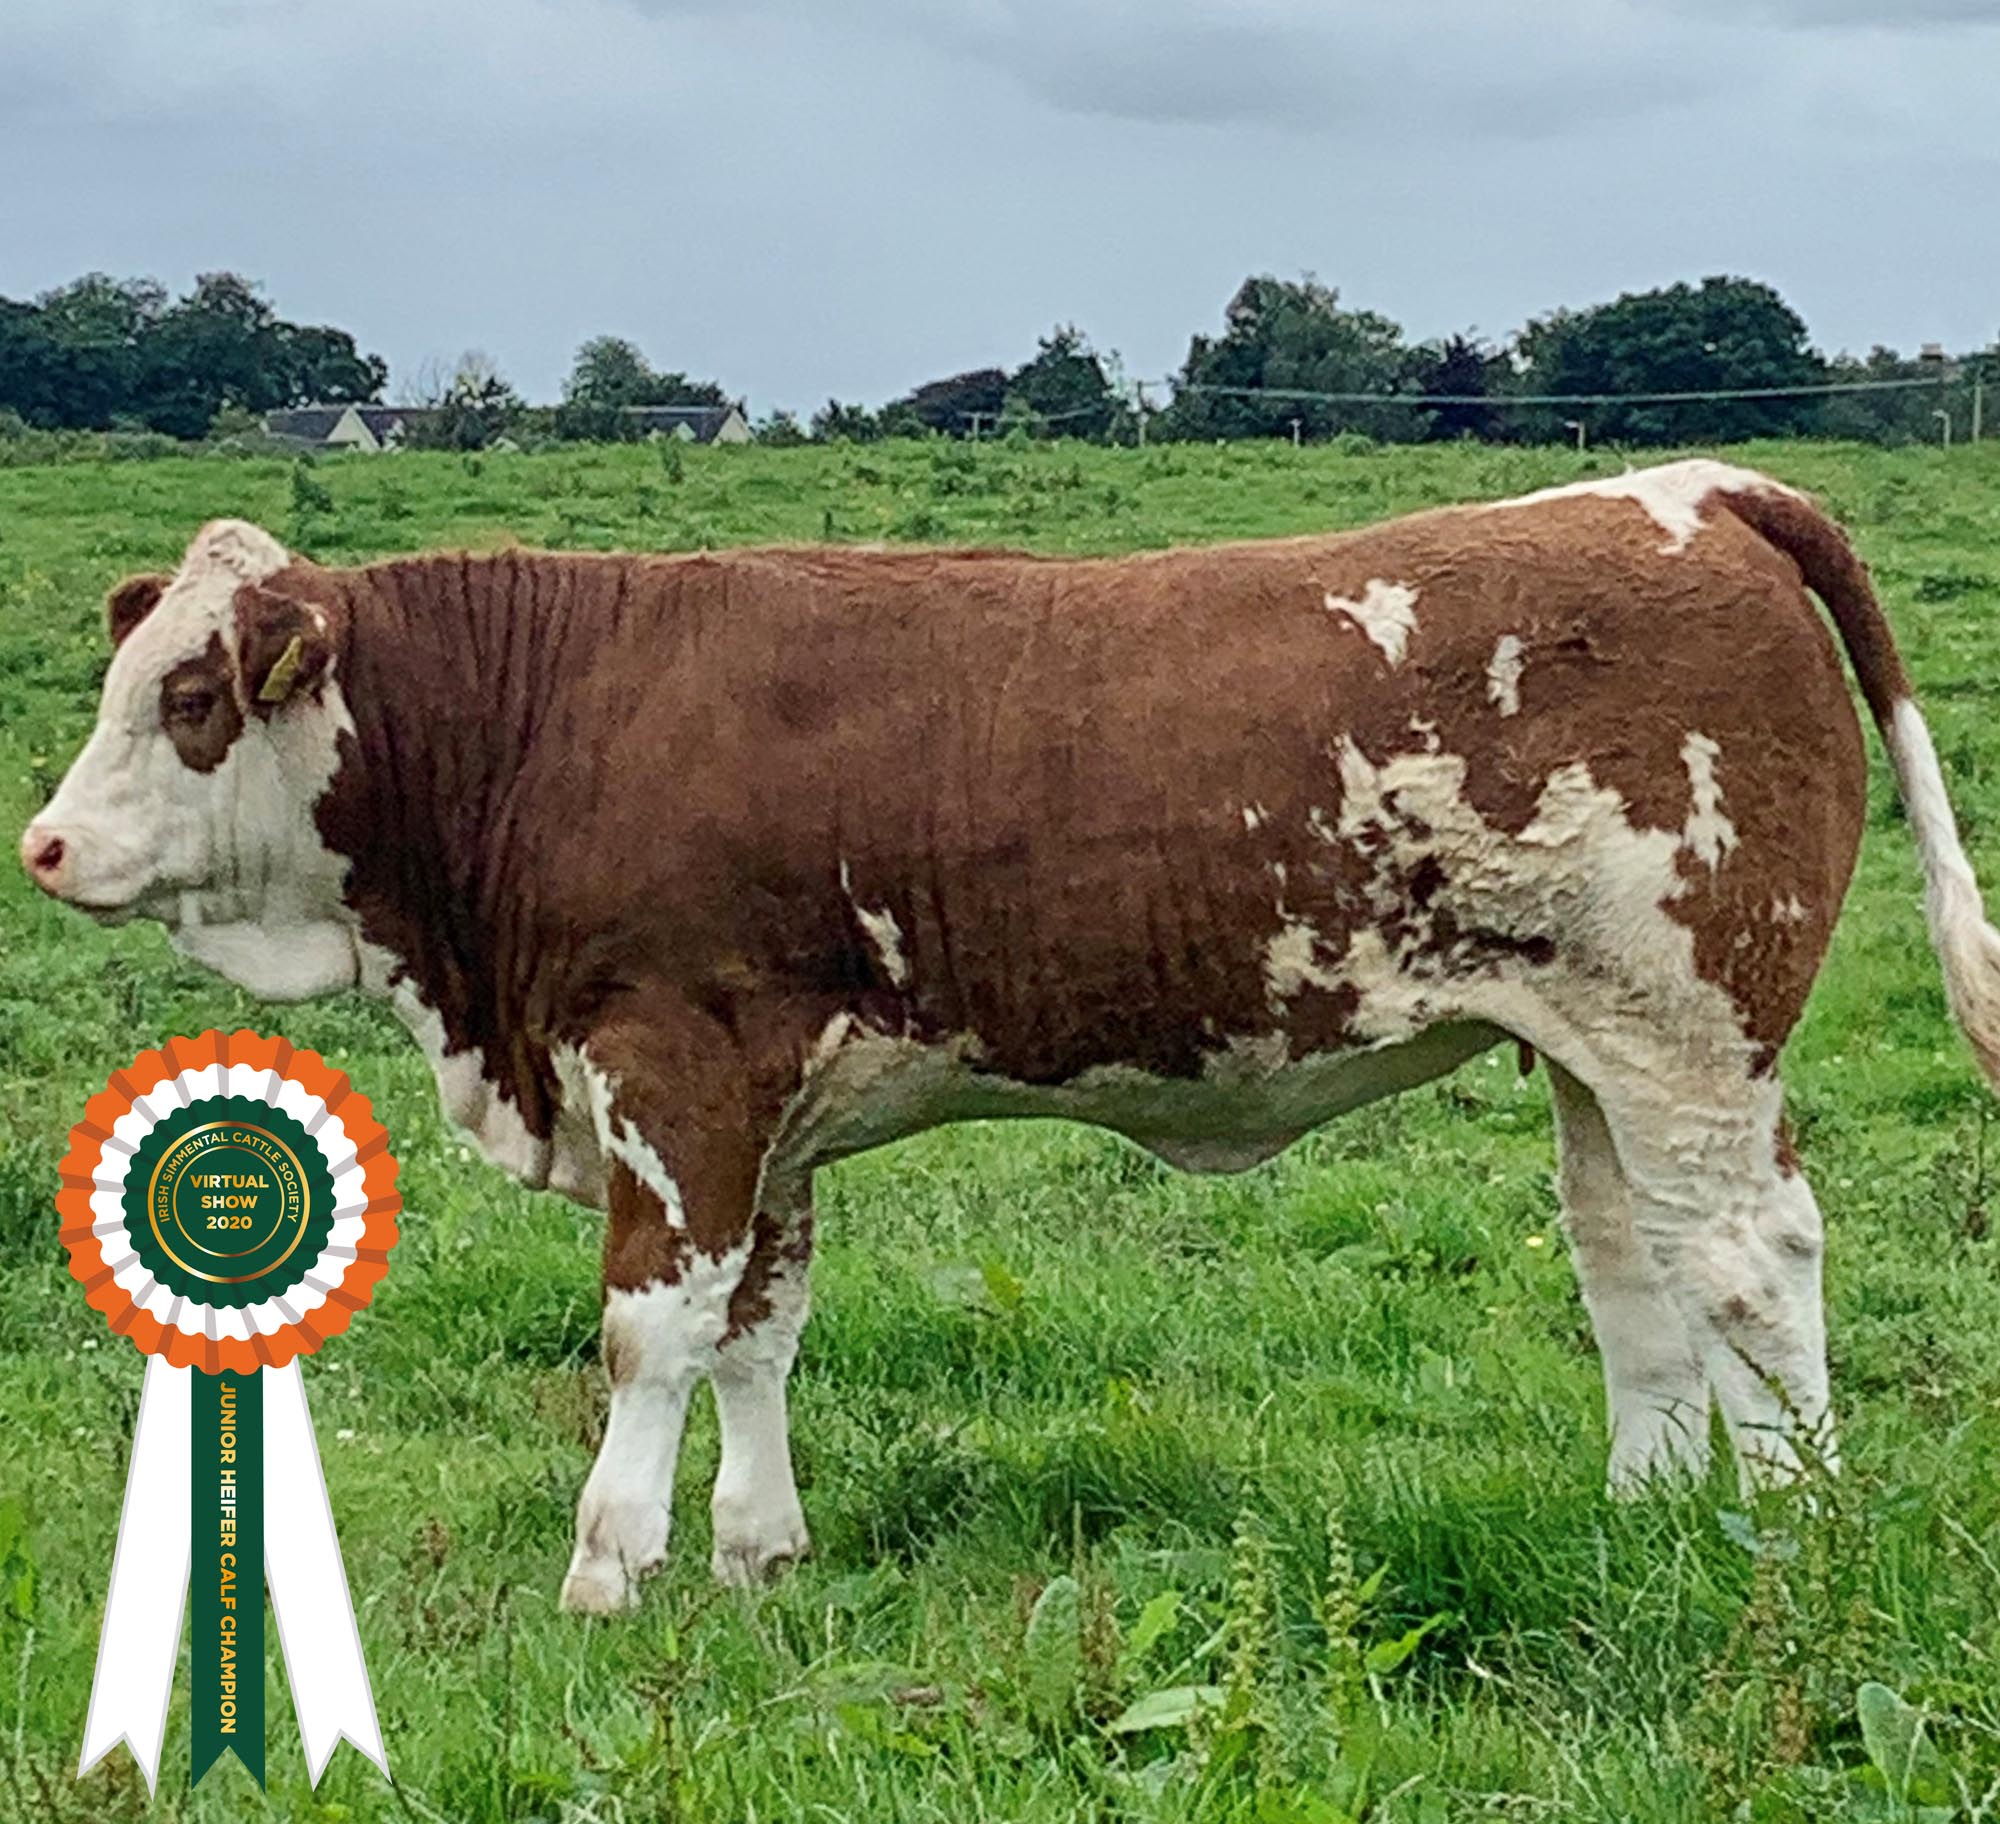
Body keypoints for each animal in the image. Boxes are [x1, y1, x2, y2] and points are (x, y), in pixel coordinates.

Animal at [22, 460, 2000, 1613]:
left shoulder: (676, 1066)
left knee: (1754, 1259)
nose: (40, 845)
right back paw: (1650, 1513)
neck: (550, 723)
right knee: (1635, 1264)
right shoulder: (767, 1102)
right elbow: (758, 1326)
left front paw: (609, 1565)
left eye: (188, 695)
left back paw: (1796, 1532)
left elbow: (653, 1328)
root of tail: (1698, 488)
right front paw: (755, 1549)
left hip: (1692, 1029)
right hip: (1600, 1045)